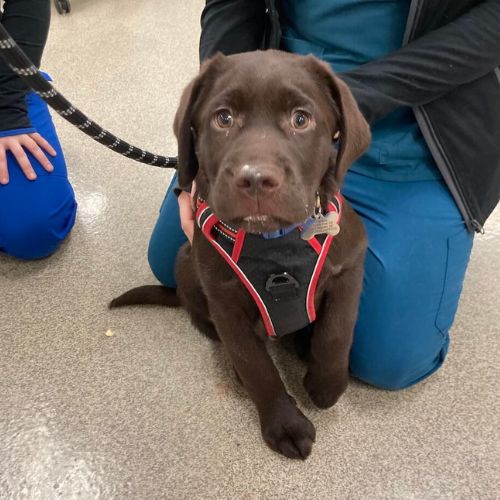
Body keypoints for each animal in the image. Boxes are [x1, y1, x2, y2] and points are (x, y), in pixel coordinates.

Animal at [110, 50, 370, 459]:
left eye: (301, 119)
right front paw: (285, 425)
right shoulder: (225, 300)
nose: (256, 179)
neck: (275, 241)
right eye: (224, 118)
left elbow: (337, 330)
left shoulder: (349, 263)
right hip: (186, 262)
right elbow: (255, 364)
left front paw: (327, 383)